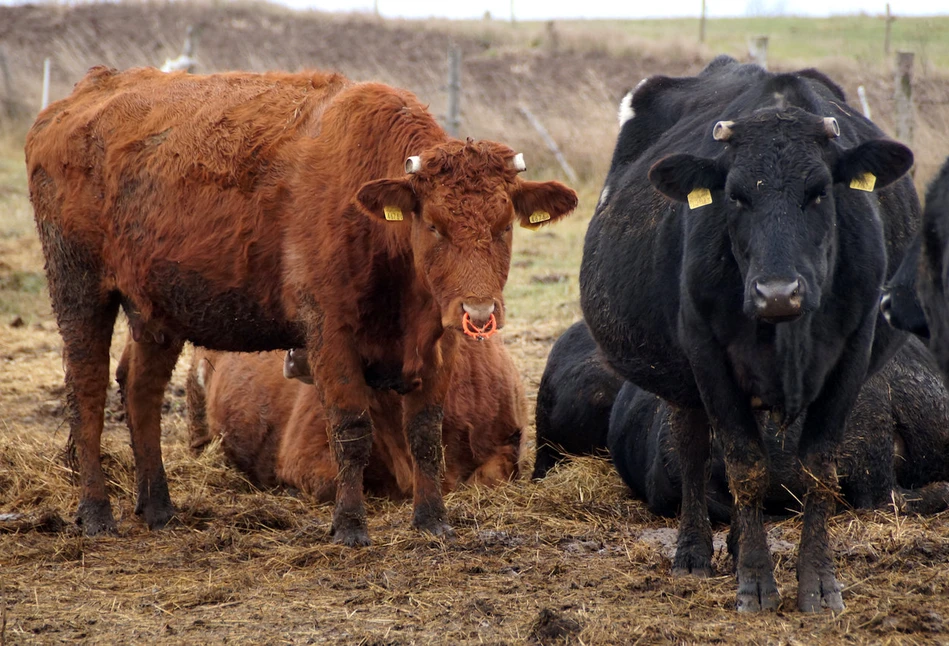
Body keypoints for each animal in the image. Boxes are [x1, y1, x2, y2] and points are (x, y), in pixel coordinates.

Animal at [576, 54, 920, 612]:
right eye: (735, 196)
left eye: (819, 192)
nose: (777, 293)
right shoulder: (707, 356)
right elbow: (745, 467)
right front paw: (756, 582)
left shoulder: (852, 354)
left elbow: (817, 468)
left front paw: (818, 583)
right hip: (682, 382)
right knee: (696, 453)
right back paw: (694, 554)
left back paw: (736, 544)